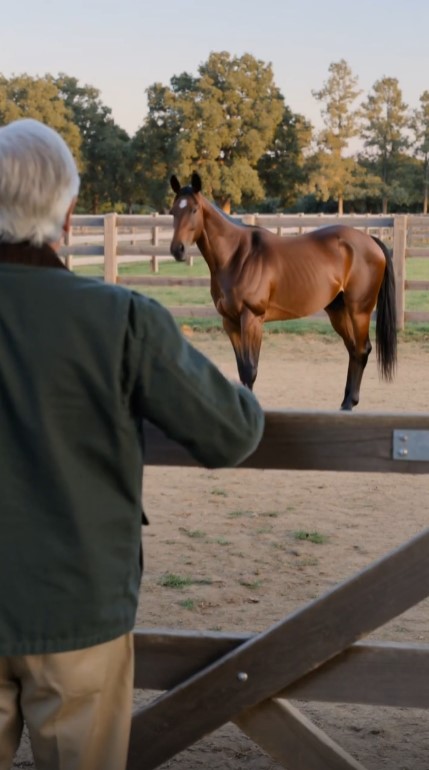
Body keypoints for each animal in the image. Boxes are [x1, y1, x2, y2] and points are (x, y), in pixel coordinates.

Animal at [169, 172, 397, 410]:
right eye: (173, 211)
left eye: (194, 210)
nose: (177, 249)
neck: (237, 256)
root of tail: (370, 240)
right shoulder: (230, 322)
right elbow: (242, 370)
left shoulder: (252, 319)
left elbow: (250, 370)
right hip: (338, 310)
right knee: (353, 350)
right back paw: (345, 402)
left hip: (359, 312)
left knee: (362, 349)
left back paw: (349, 403)